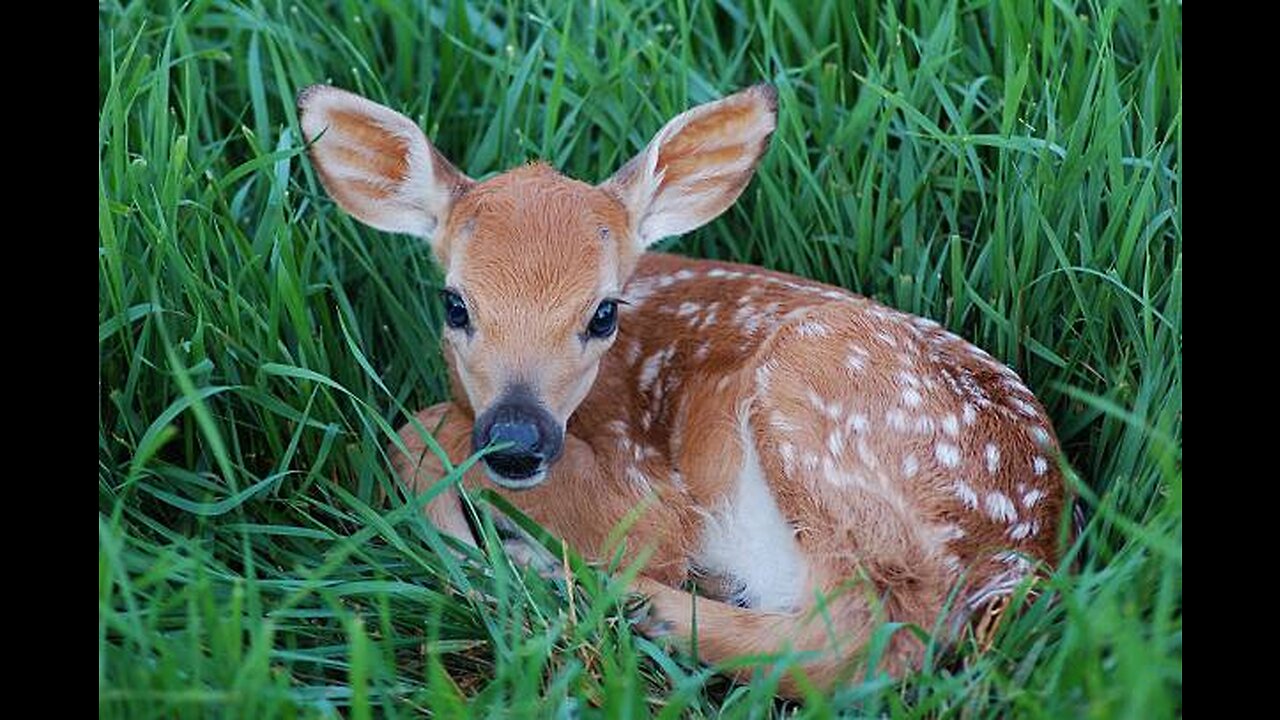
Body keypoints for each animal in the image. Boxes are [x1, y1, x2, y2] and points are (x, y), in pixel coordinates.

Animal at [302, 81, 1070, 686]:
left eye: (603, 312)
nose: (517, 440)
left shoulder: (649, 490)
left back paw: (611, 596)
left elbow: (421, 428)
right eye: (454, 304)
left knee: (866, 636)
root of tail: (1024, 558)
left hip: (816, 398)